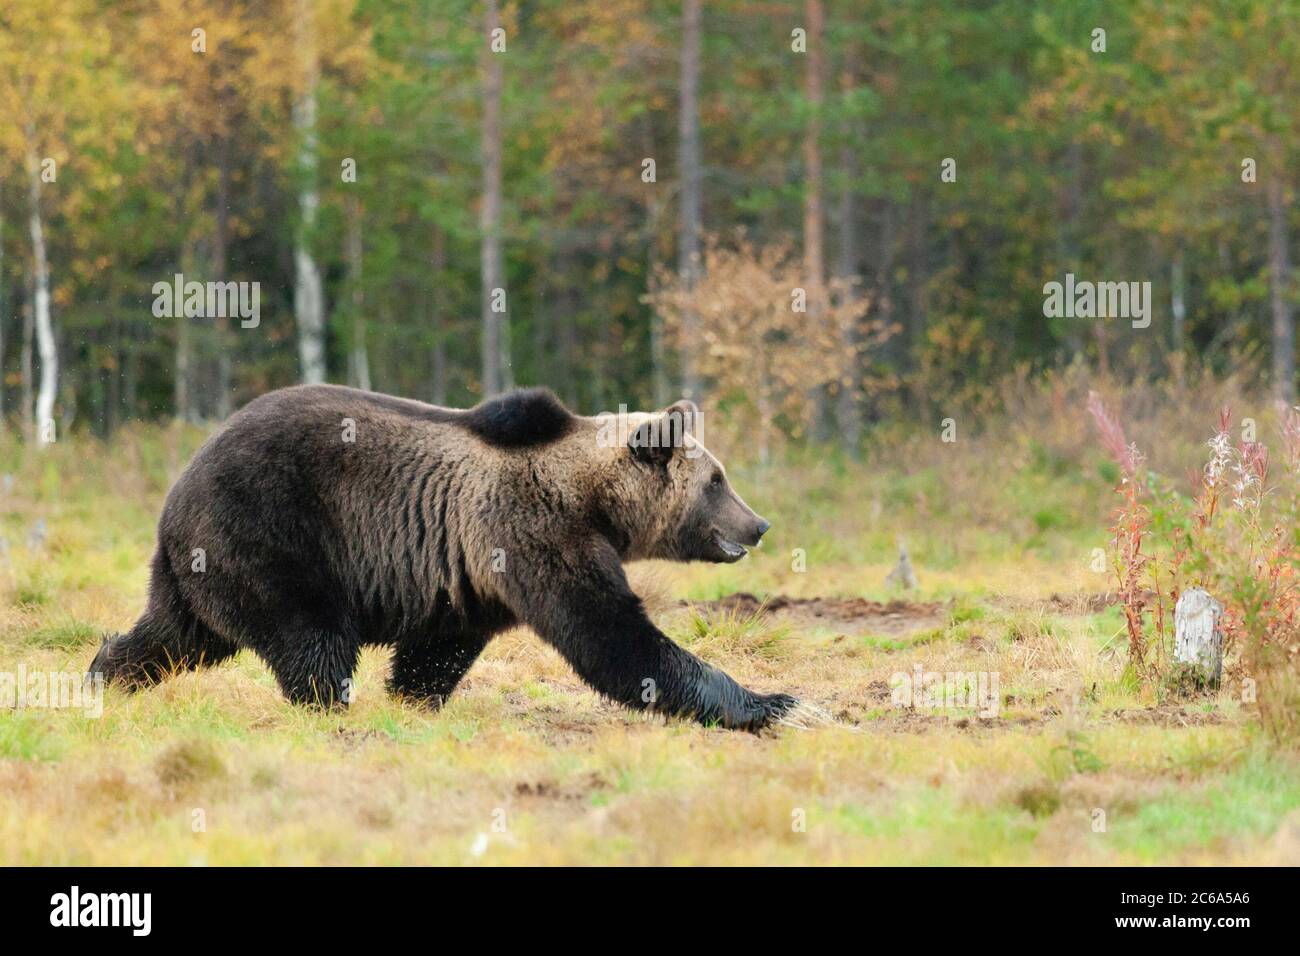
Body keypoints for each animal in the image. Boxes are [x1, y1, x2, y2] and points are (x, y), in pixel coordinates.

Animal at [91, 385, 795, 728]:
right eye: (717, 481)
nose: (759, 523)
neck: (592, 499)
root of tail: (179, 487)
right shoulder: (535, 532)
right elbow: (613, 635)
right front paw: (769, 703)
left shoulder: (472, 571)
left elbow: (440, 648)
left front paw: (414, 699)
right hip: (270, 529)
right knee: (311, 637)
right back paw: (326, 707)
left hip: (201, 564)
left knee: (176, 633)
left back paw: (104, 675)